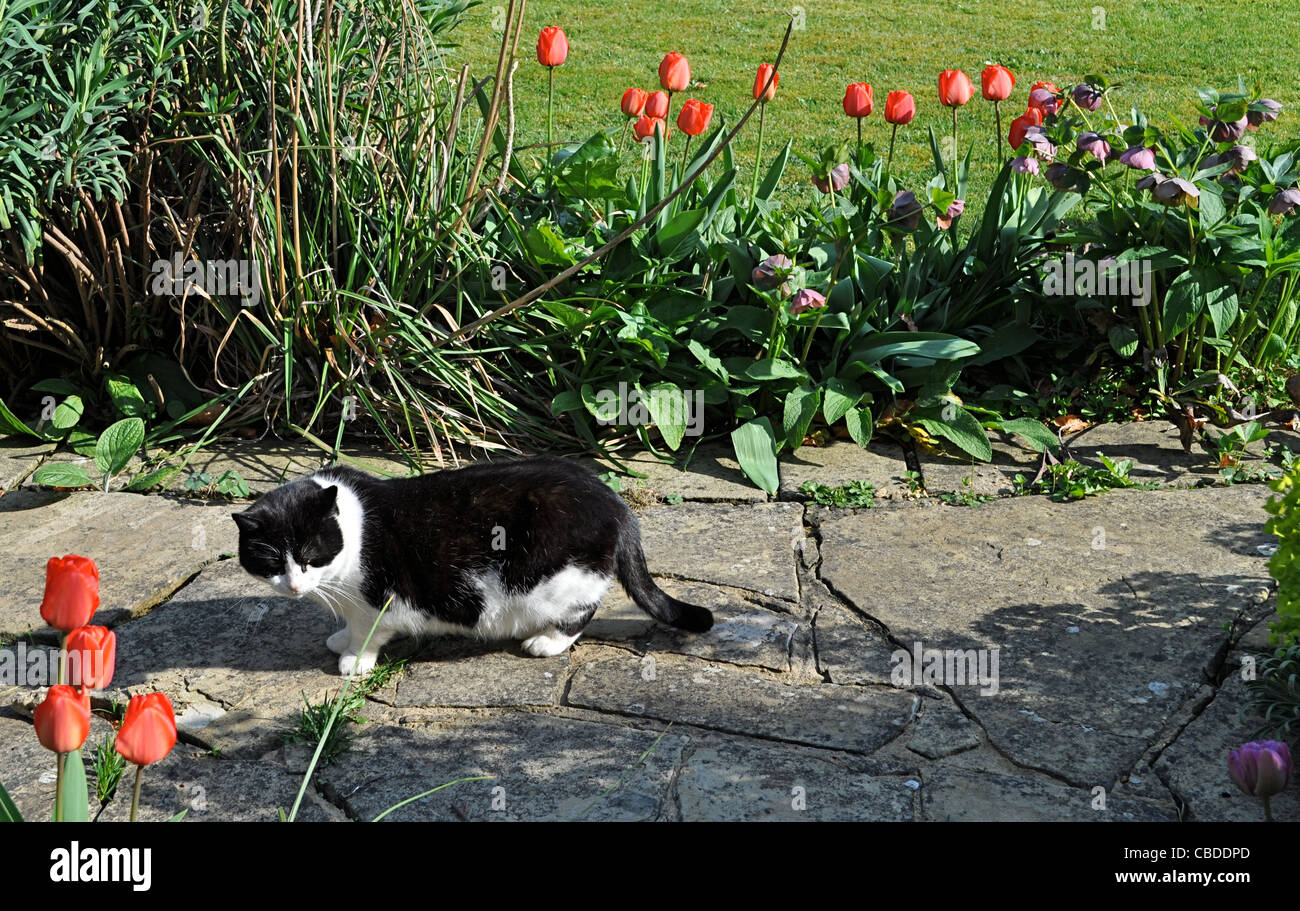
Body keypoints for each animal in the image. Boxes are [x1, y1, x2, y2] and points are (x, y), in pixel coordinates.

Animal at [230, 457, 717, 670]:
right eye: (271, 560)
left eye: (311, 554)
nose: (294, 586)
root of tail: (615, 503)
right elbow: (350, 625)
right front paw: (341, 640)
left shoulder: (377, 598)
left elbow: (368, 630)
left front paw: (355, 658)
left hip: (553, 580)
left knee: (583, 610)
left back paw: (547, 642)